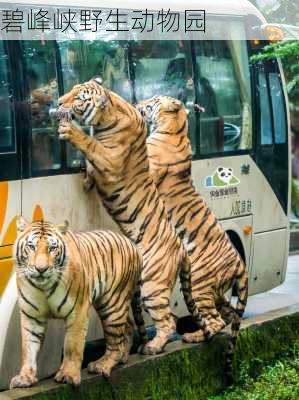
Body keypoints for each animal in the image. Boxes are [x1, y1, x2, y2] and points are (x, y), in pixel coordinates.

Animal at [10, 216, 148, 388]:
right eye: (31, 246)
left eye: (52, 248)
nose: (41, 269)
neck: (44, 287)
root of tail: (132, 244)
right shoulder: (31, 315)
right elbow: (28, 347)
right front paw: (25, 378)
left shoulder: (78, 310)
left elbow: (72, 345)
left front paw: (68, 375)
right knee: (127, 325)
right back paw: (123, 357)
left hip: (112, 304)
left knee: (115, 340)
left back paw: (102, 365)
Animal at [54, 78, 211, 356]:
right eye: (71, 89)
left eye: (78, 97)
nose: (59, 101)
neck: (106, 116)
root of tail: (182, 250)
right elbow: (89, 167)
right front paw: (86, 180)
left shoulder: (110, 160)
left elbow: (90, 146)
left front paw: (69, 131)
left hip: (152, 285)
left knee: (168, 320)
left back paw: (152, 346)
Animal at [137, 95, 250, 360]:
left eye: (152, 101)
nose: (137, 105)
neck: (177, 129)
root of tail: (240, 264)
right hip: (214, 290)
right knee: (227, 315)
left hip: (200, 283)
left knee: (215, 320)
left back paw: (192, 336)